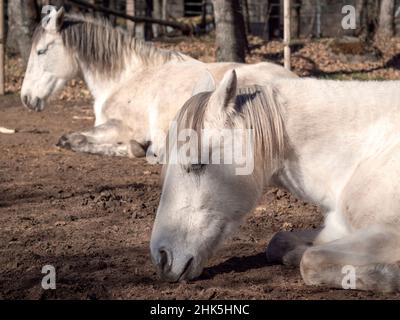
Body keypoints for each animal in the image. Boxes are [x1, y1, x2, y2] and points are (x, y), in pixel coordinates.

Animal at [21, 8, 296, 160]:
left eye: (41, 51)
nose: (25, 98)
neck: (126, 77)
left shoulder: (122, 127)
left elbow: (71, 139)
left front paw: (135, 148)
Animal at [151, 70, 400, 292]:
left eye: (196, 164)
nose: (161, 257)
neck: (368, 151)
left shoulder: (388, 234)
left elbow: (311, 260)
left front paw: (390, 276)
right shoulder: (337, 227)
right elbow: (281, 242)